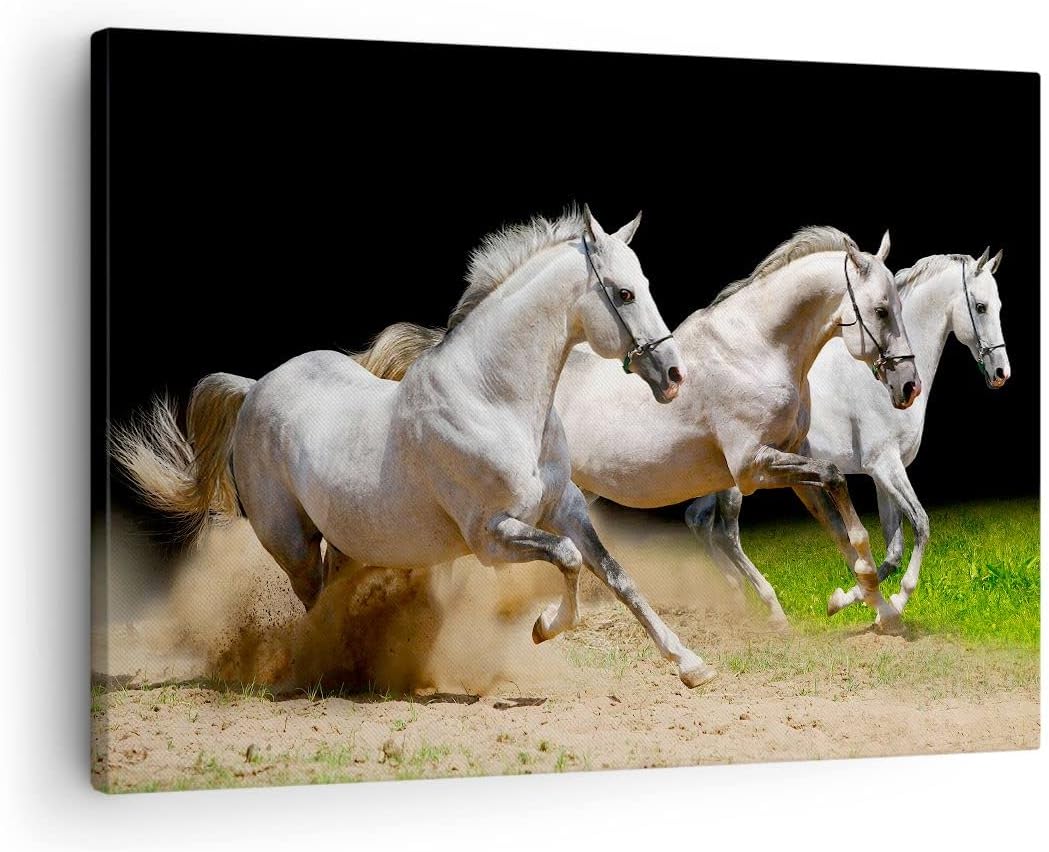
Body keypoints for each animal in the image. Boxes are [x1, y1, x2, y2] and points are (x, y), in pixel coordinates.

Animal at [111, 206, 719, 689]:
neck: (493, 398)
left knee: (332, 599)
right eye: (623, 293)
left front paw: (691, 665)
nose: (673, 375)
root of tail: (255, 387)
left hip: (350, 542)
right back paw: (322, 673)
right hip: (293, 544)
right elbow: (569, 560)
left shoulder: (564, 506)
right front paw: (545, 627)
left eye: (645, 283)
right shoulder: (491, 536)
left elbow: (617, 575)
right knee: (313, 605)